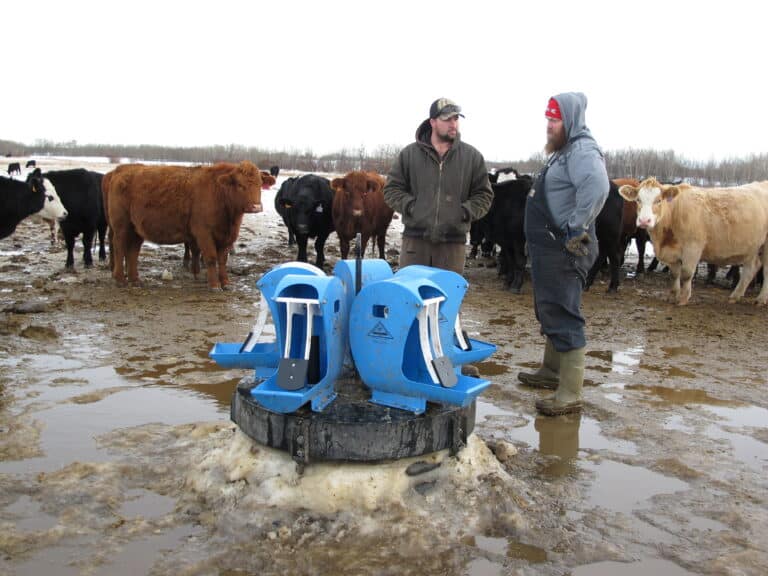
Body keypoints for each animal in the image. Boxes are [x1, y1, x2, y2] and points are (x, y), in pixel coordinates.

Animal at [103, 161, 274, 288]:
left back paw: (135, 279)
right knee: (119, 247)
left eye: (260, 184)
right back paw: (120, 279)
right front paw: (214, 285)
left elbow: (222, 260)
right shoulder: (203, 233)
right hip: (121, 225)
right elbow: (211, 257)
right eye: (239, 185)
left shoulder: (226, 236)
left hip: (136, 228)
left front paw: (225, 282)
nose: (256, 207)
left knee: (133, 251)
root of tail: (121, 169)